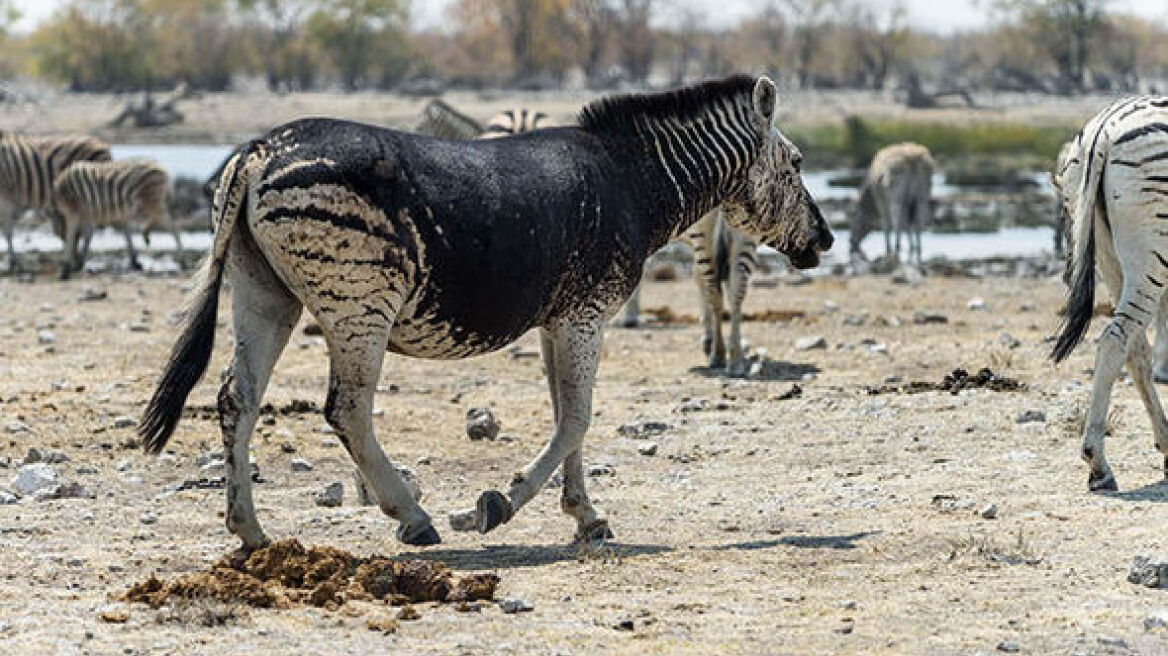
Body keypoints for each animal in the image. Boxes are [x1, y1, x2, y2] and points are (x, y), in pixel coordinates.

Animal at [0, 133, 111, 270]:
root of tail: (101, 144)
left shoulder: (6, 200)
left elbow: (7, 232)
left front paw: (14, 262)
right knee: (89, 227)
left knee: (89, 228)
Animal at [54, 159, 182, 280]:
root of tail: (161, 169)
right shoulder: (88, 215)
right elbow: (86, 236)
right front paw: (78, 263)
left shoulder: (73, 212)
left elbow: (70, 237)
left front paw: (65, 270)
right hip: (153, 201)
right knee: (165, 220)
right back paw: (147, 235)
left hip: (151, 199)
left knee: (170, 224)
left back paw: (181, 257)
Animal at [136, 74, 831, 548]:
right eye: (798, 163)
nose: (824, 240)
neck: (633, 182)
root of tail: (258, 149)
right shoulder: (586, 315)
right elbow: (577, 419)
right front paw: (499, 504)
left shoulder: (561, 318)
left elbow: (567, 416)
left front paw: (585, 515)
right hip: (360, 304)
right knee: (346, 410)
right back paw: (412, 518)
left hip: (265, 293)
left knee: (238, 399)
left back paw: (249, 529)